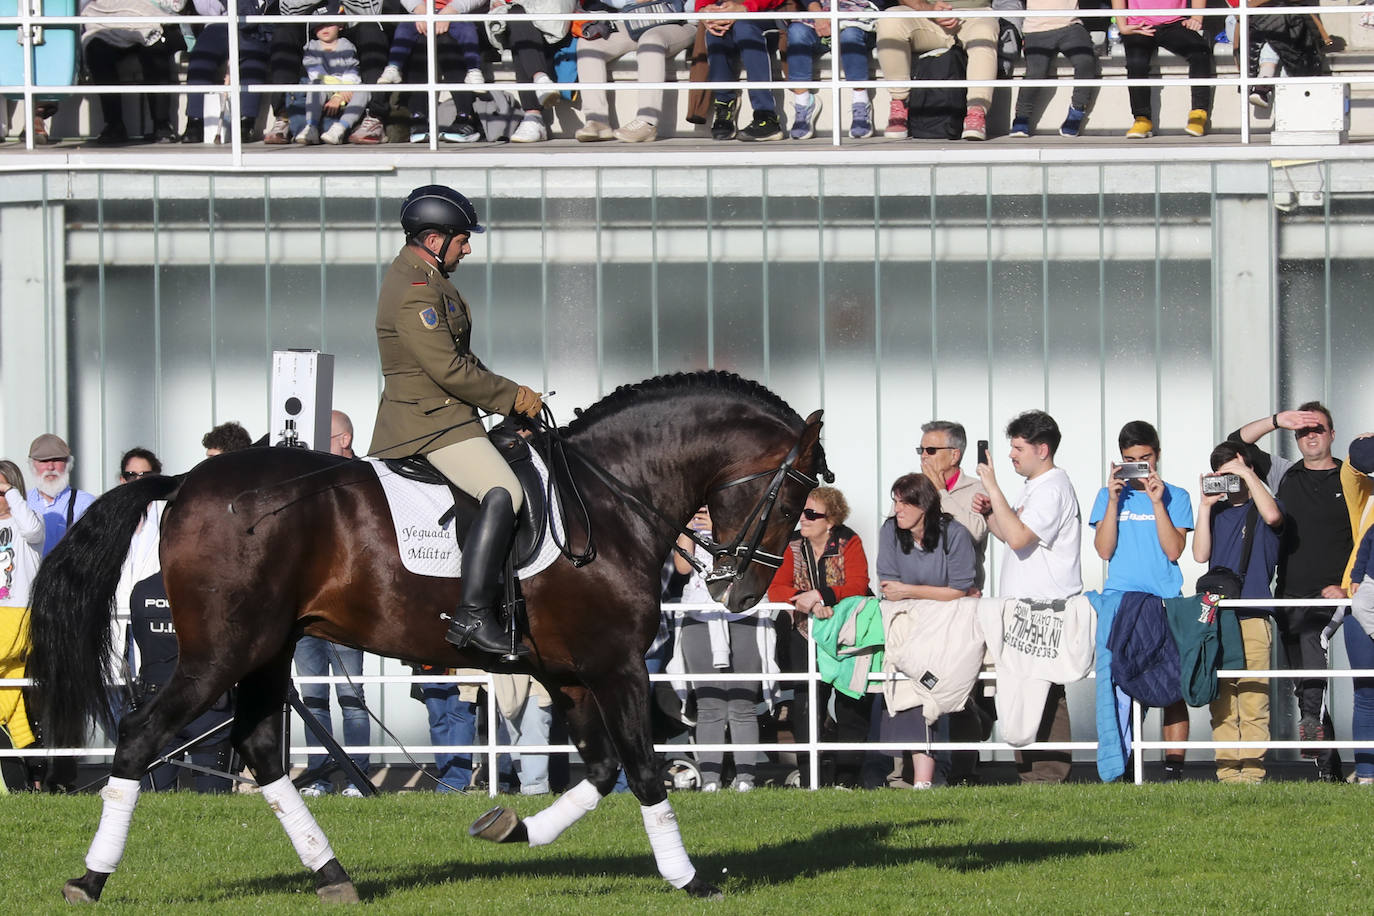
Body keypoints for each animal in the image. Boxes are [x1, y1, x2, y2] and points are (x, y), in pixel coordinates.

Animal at [26, 370, 824, 900]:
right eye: (793, 496)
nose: (739, 592)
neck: (609, 495)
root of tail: (187, 482)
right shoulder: (616, 666)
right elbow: (645, 772)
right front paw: (688, 880)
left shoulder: (570, 674)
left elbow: (600, 772)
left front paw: (511, 829)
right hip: (221, 653)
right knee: (140, 735)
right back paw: (90, 880)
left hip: (266, 651)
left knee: (258, 749)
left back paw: (332, 875)